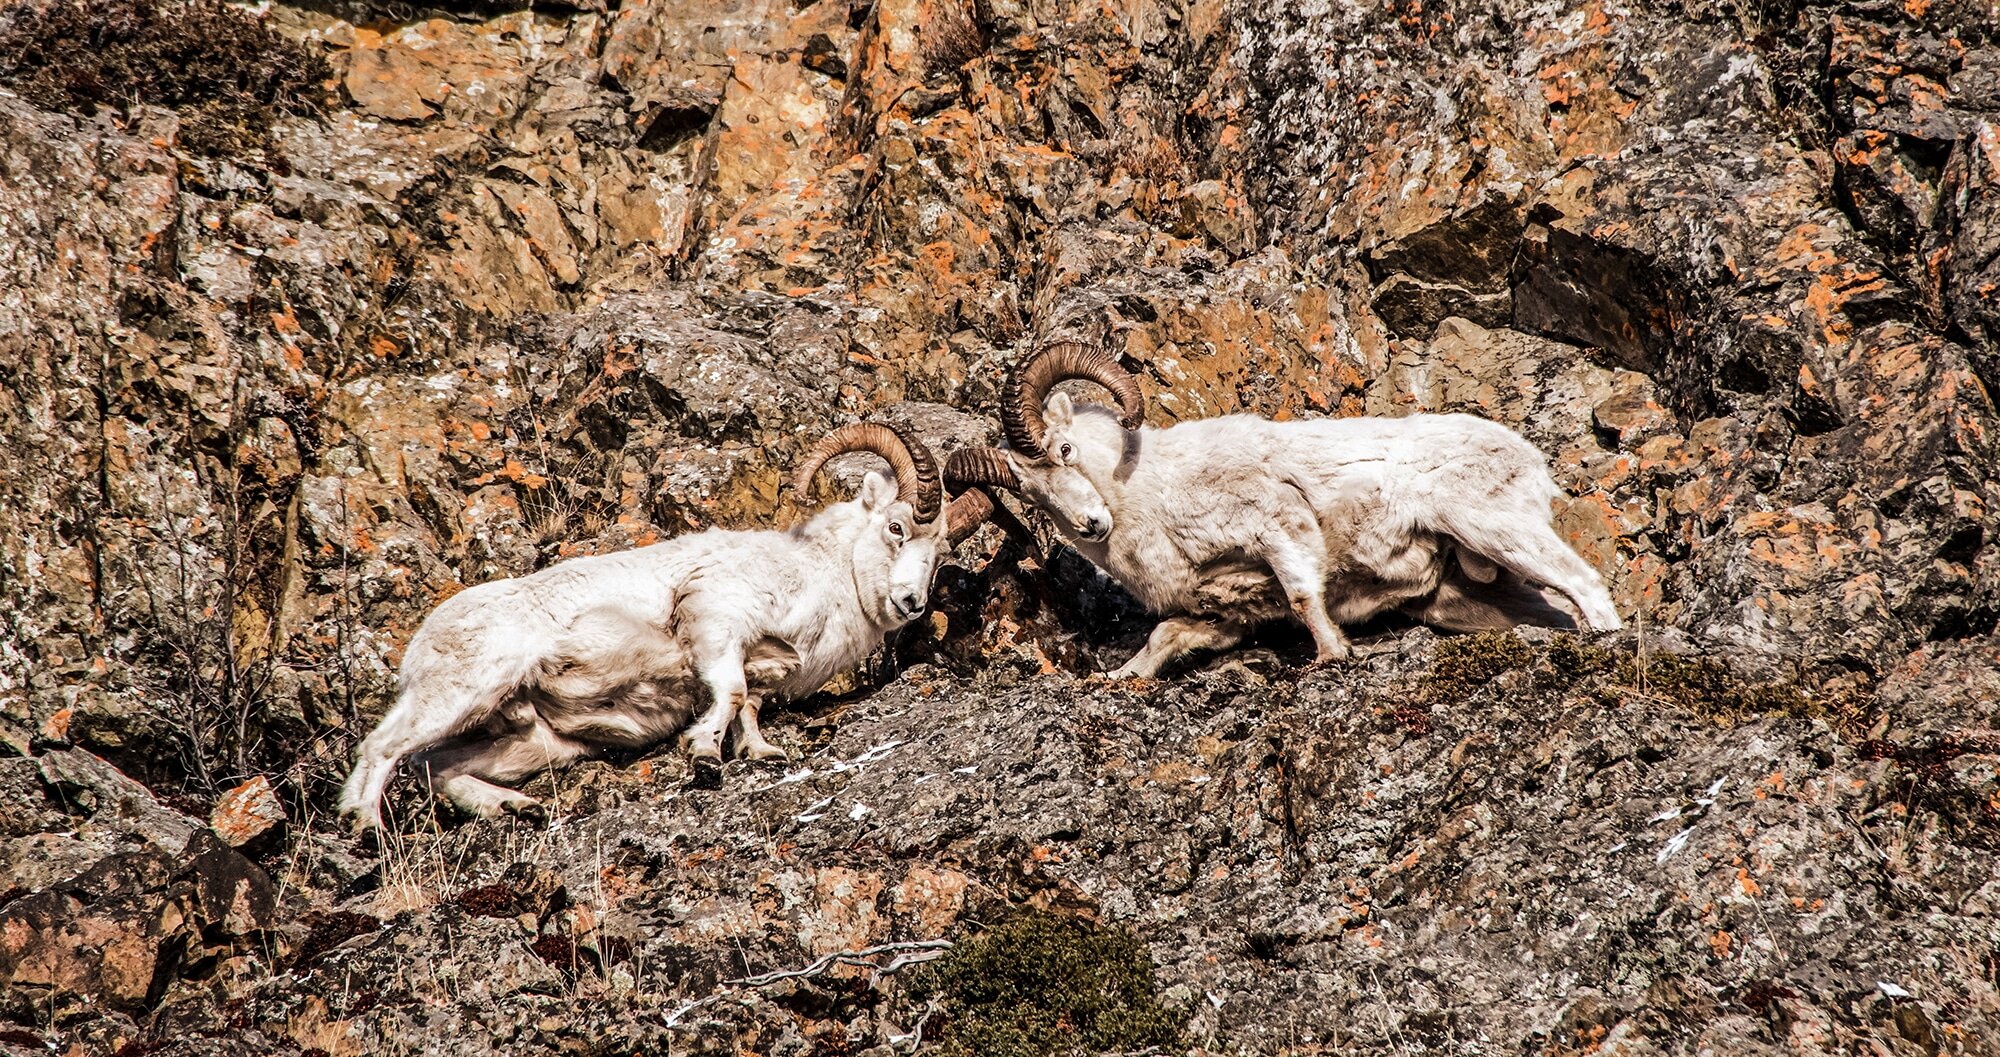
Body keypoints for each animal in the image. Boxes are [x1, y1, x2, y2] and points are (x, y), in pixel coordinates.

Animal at [337, 424, 992, 832]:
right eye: (896, 528)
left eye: (939, 555)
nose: (911, 601)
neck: (816, 573)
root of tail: (422, 643)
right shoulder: (716, 622)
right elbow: (730, 692)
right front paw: (703, 755)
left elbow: (749, 706)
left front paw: (757, 752)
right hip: (464, 690)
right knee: (384, 748)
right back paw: (365, 827)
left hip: (529, 741)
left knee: (439, 770)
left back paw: (515, 810)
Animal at [946, 342, 1622, 677]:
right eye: (1033, 496)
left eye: (1065, 449)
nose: (1091, 525)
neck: (1148, 495)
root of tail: (1529, 460)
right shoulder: (1222, 614)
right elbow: (1164, 639)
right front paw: (1121, 680)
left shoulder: (1279, 528)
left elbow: (1303, 595)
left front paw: (1332, 657)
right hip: (1468, 598)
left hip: (1497, 528)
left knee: (1587, 586)